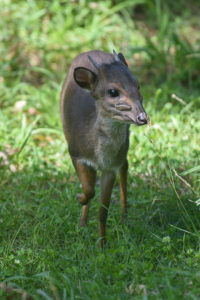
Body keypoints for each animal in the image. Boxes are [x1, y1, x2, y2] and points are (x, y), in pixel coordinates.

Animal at [60, 48, 148, 246]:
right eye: (113, 91)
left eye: (137, 85)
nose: (142, 117)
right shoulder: (76, 154)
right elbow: (89, 189)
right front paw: (80, 199)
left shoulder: (110, 168)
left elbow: (103, 211)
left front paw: (102, 244)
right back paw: (83, 223)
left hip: (124, 146)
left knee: (125, 165)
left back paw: (123, 216)